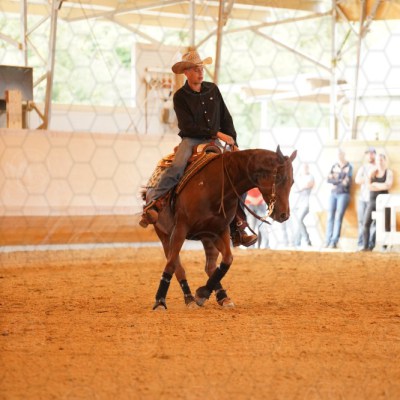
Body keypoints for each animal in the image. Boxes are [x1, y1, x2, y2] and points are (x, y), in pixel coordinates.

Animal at [147, 146, 297, 310]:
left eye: (292, 181)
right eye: (279, 177)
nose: (284, 215)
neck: (214, 186)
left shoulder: (220, 230)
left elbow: (227, 259)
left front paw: (203, 293)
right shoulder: (180, 228)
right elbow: (171, 264)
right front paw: (160, 301)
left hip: (206, 237)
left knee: (209, 266)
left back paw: (221, 297)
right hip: (164, 234)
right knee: (176, 265)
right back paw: (189, 299)